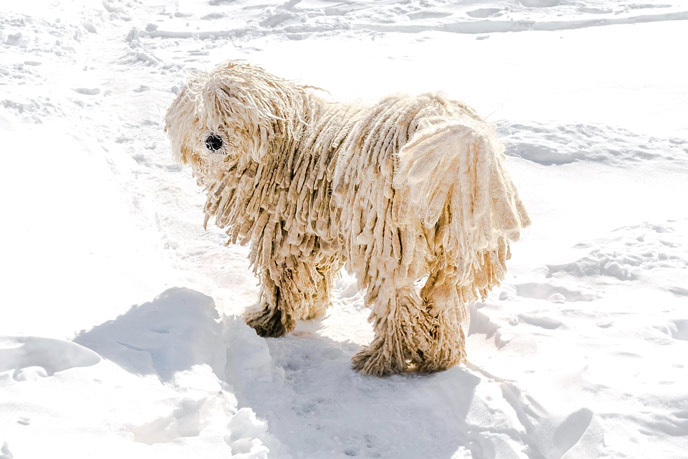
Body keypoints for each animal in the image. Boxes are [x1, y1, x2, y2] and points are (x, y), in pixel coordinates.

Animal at [164, 62, 528, 378]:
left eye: (233, 112)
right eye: (199, 115)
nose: (213, 141)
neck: (284, 137)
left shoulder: (279, 231)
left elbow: (279, 280)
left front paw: (269, 320)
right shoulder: (313, 232)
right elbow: (312, 274)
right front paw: (309, 308)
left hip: (386, 241)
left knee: (396, 304)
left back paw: (383, 359)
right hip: (457, 247)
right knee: (444, 299)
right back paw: (440, 357)